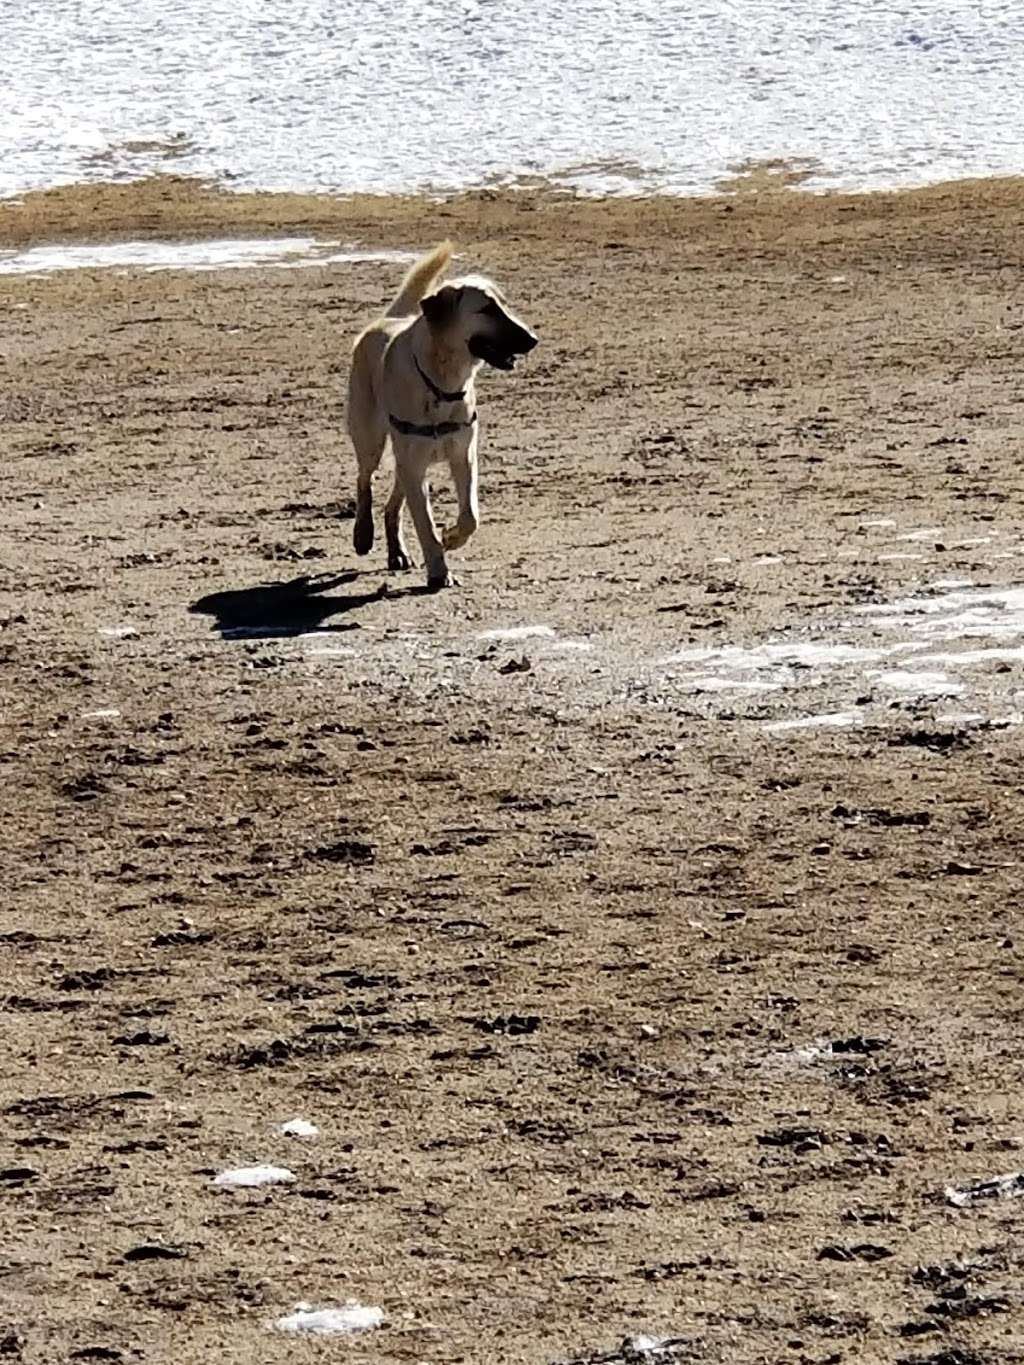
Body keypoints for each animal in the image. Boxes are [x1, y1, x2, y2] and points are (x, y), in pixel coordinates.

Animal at [345, 242, 537, 589]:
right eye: (487, 309)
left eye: (504, 305)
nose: (532, 339)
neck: (442, 384)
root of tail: (388, 319)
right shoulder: (415, 465)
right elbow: (424, 524)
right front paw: (438, 570)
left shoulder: (463, 456)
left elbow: (471, 516)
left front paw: (451, 537)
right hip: (370, 439)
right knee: (364, 479)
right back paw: (363, 534)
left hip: (405, 459)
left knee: (393, 504)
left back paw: (397, 551)